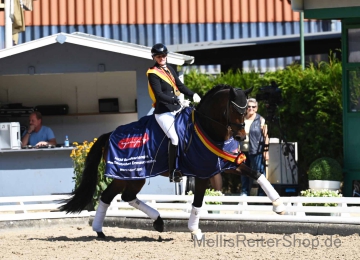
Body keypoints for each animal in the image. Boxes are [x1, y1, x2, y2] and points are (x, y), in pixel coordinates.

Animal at [60, 85, 286, 240]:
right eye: (233, 110)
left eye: (246, 110)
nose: (241, 137)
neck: (207, 129)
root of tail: (110, 134)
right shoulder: (202, 173)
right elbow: (198, 202)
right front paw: (195, 231)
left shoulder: (226, 164)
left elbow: (257, 174)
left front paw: (278, 205)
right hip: (127, 174)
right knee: (115, 196)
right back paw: (107, 229)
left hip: (132, 176)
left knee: (120, 196)